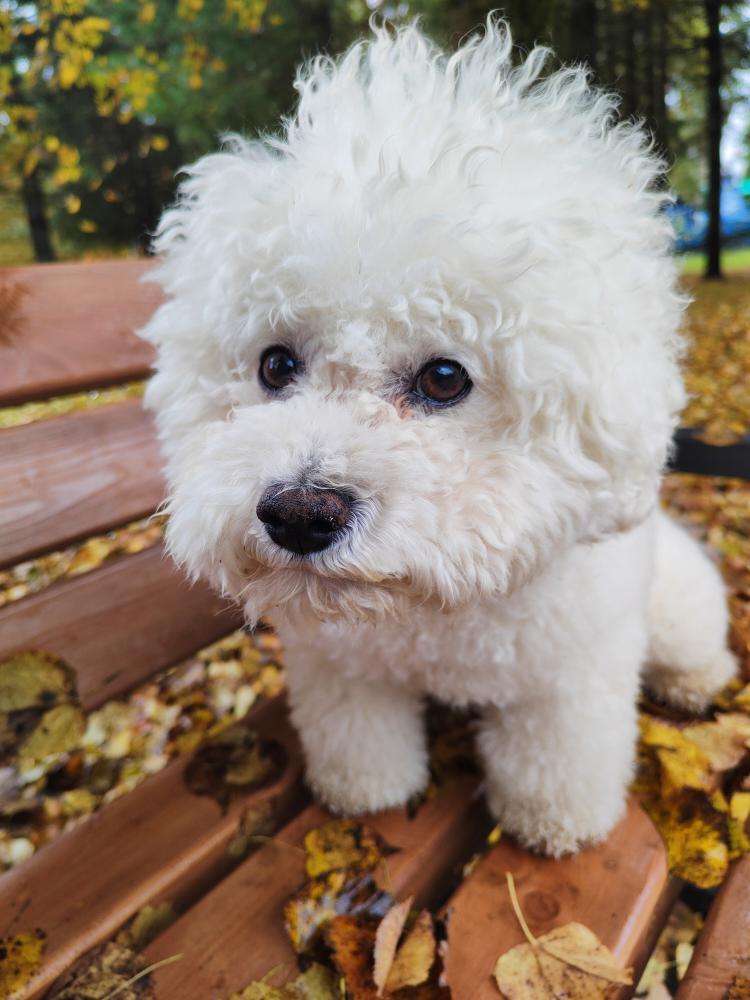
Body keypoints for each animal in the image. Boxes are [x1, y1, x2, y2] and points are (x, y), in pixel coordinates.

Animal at [140, 21, 737, 856]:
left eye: (446, 378)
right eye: (275, 364)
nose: (299, 514)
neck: (433, 610)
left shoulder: (568, 677)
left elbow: (558, 759)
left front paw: (556, 824)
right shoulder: (343, 668)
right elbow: (360, 736)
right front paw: (366, 792)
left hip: (675, 606)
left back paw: (697, 680)